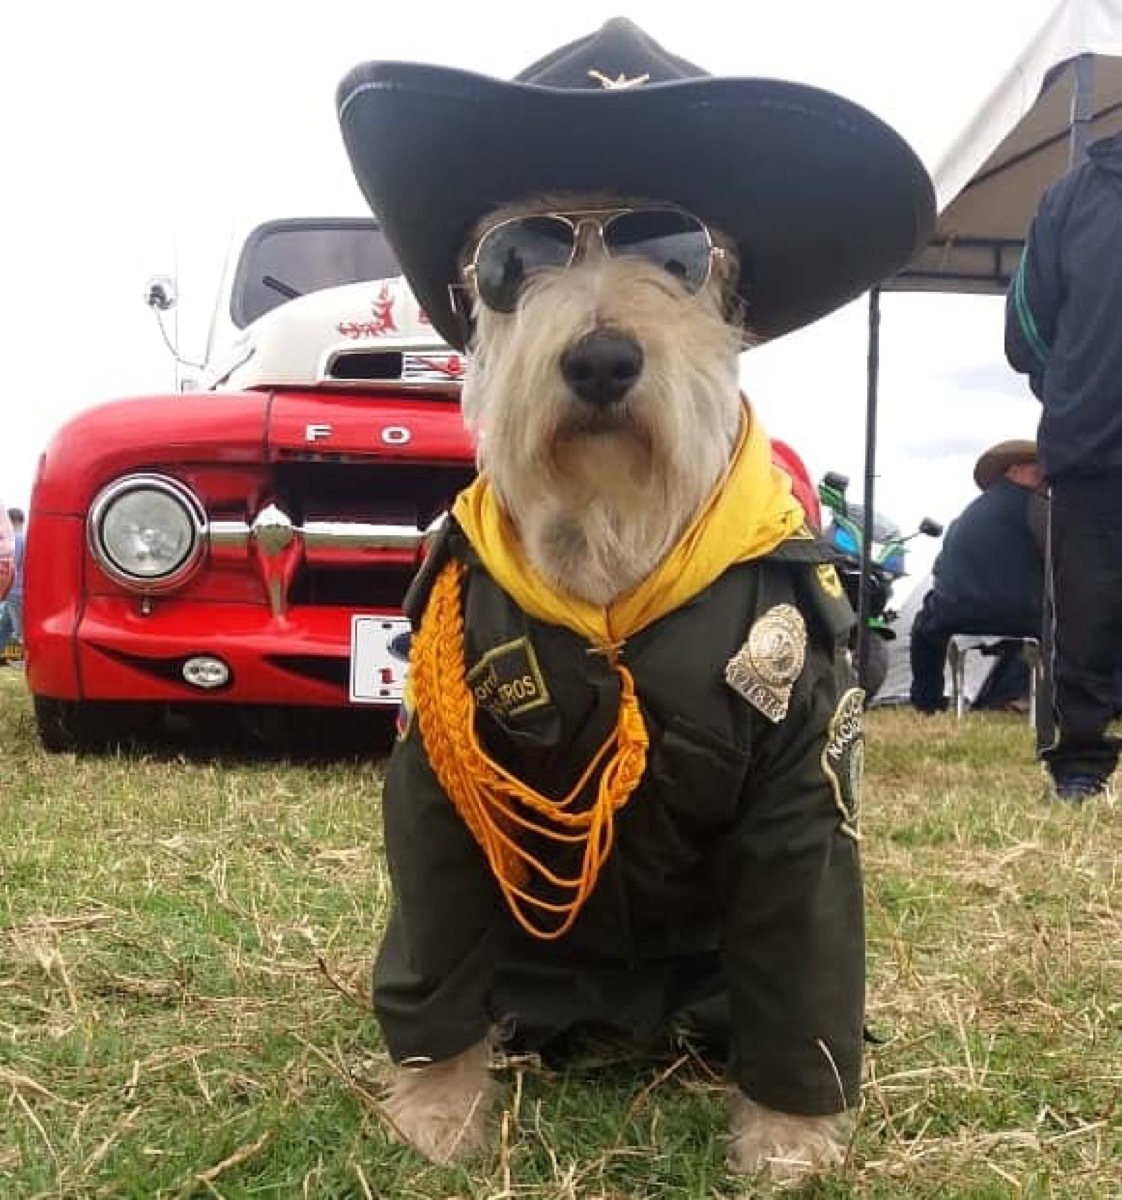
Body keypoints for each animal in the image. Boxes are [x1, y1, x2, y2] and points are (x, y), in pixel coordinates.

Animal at [376, 196, 859, 1180]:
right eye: (514, 261)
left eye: (676, 256)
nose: (601, 359)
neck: (612, 551)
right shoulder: (432, 781)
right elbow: (435, 924)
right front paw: (438, 1111)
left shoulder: (808, 769)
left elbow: (804, 948)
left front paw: (788, 1137)